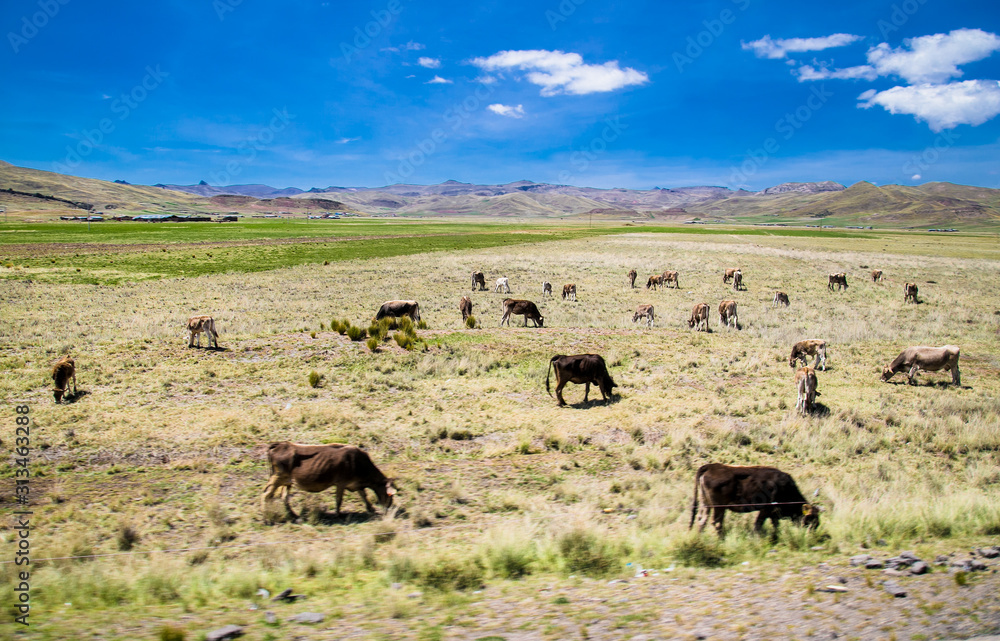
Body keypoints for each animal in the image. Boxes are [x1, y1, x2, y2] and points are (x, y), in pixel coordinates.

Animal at [262, 442, 398, 516]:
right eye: (389, 495)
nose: (390, 507)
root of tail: (280, 444)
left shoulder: (355, 483)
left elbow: (364, 495)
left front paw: (371, 509)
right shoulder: (341, 483)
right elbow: (339, 499)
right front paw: (338, 514)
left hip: (287, 481)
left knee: (284, 497)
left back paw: (294, 516)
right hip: (277, 477)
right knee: (266, 494)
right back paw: (266, 517)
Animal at [688, 462, 820, 536]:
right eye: (810, 518)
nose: (812, 533)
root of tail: (710, 467)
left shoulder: (773, 513)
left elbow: (774, 525)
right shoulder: (766, 510)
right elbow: (758, 524)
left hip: (706, 504)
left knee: (702, 520)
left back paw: (700, 538)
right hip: (719, 507)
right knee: (716, 522)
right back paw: (720, 540)